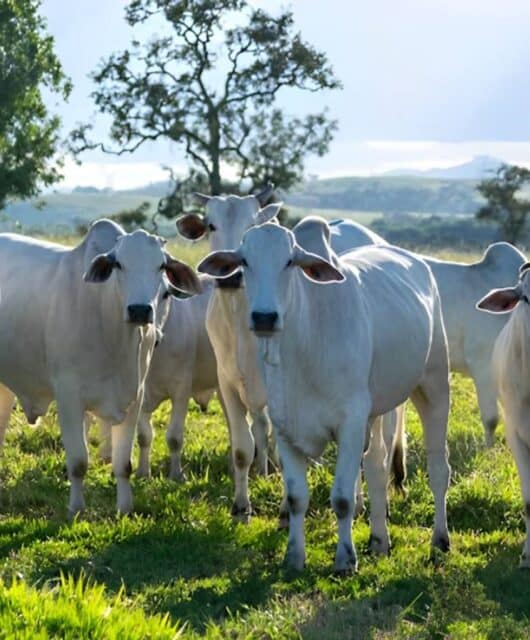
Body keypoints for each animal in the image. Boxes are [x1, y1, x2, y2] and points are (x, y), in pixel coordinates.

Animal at [0, 221, 200, 516]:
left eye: (162, 266)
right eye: (118, 264)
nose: (139, 310)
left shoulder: (134, 398)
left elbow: (123, 464)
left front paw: (125, 508)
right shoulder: (69, 398)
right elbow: (78, 462)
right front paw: (76, 508)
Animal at [198, 222, 450, 572]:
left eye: (289, 262)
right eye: (245, 261)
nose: (264, 317)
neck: (304, 343)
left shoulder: (350, 423)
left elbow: (342, 499)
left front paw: (345, 559)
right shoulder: (286, 426)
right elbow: (296, 498)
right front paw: (294, 556)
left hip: (433, 386)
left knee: (437, 468)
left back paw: (439, 539)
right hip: (376, 411)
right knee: (376, 467)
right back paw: (379, 540)